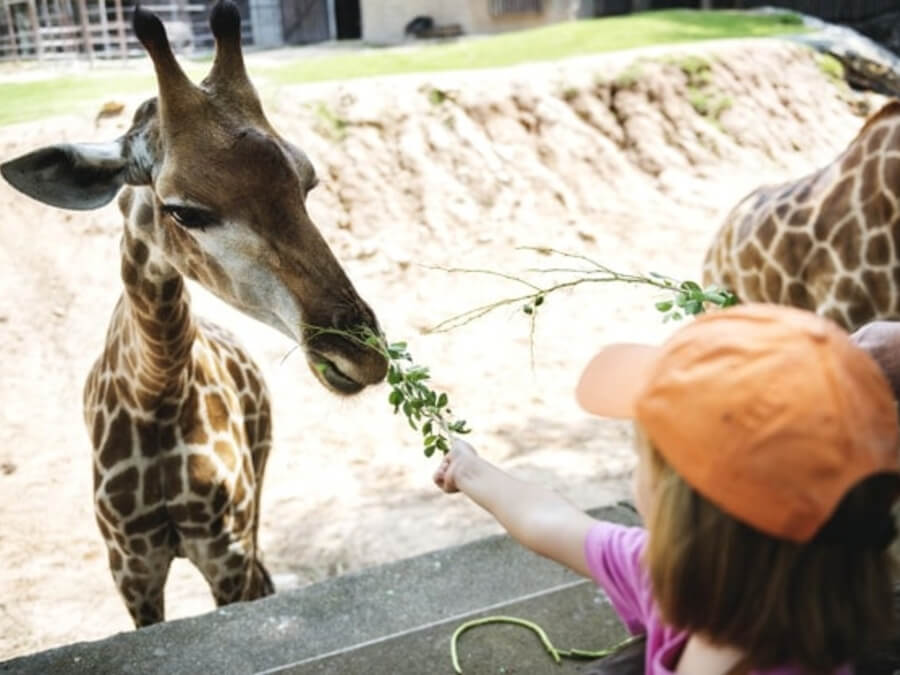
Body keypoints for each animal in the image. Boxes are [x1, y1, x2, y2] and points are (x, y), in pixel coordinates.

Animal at [0, 0, 384, 628]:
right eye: (183, 209)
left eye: (307, 183)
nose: (362, 355)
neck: (155, 391)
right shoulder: (131, 568)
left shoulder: (224, 550)